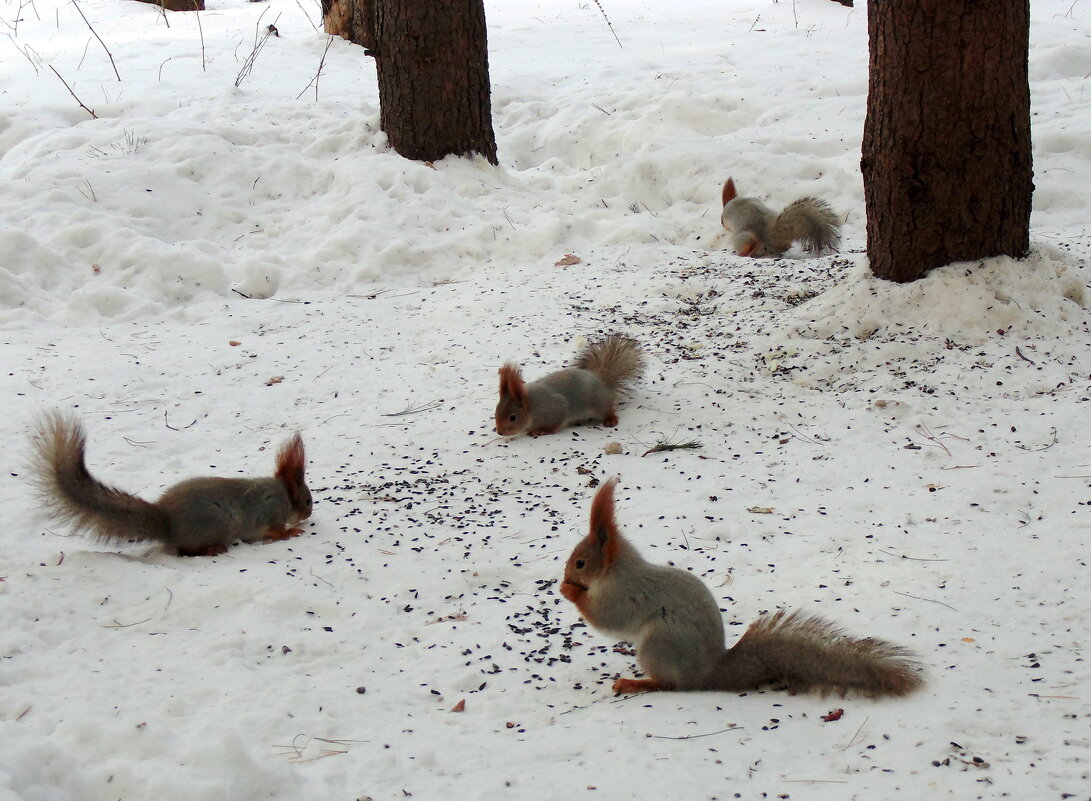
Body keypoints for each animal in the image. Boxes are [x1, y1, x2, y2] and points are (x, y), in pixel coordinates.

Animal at [30, 414, 312, 558]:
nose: (309, 514)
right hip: (217, 523)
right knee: (185, 550)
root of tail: (167, 523)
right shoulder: (271, 513)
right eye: (308, 500)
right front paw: (292, 532)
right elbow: (275, 532)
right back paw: (213, 548)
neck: (283, 493)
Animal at [497, 338, 641, 443]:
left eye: (512, 417)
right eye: (496, 411)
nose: (499, 432)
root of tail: (602, 381)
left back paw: (610, 420)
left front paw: (542, 431)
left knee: (608, 410)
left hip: (598, 403)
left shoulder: (555, 409)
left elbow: (554, 425)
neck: (532, 407)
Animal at [558, 480, 925, 698]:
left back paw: (636, 683)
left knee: (671, 685)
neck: (617, 571)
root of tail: (709, 675)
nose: (565, 575)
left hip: (658, 645)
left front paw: (569, 591)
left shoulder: (624, 595)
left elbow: (607, 619)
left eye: (581, 563)